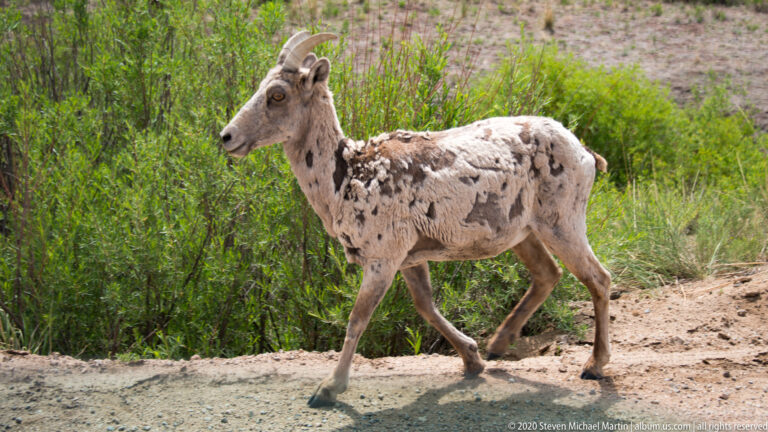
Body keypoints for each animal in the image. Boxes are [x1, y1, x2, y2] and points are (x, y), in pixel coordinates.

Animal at [219, 31, 612, 408]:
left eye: (277, 94)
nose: (227, 137)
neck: (348, 176)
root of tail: (585, 153)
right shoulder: (409, 259)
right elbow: (425, 306)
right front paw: (472, 360)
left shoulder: (383, 258)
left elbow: (357, 318)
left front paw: (328, 390)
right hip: (525, 233)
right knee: (548, 274)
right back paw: (498, 344)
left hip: (563, 223)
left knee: (598, 278)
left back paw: (594, 365)